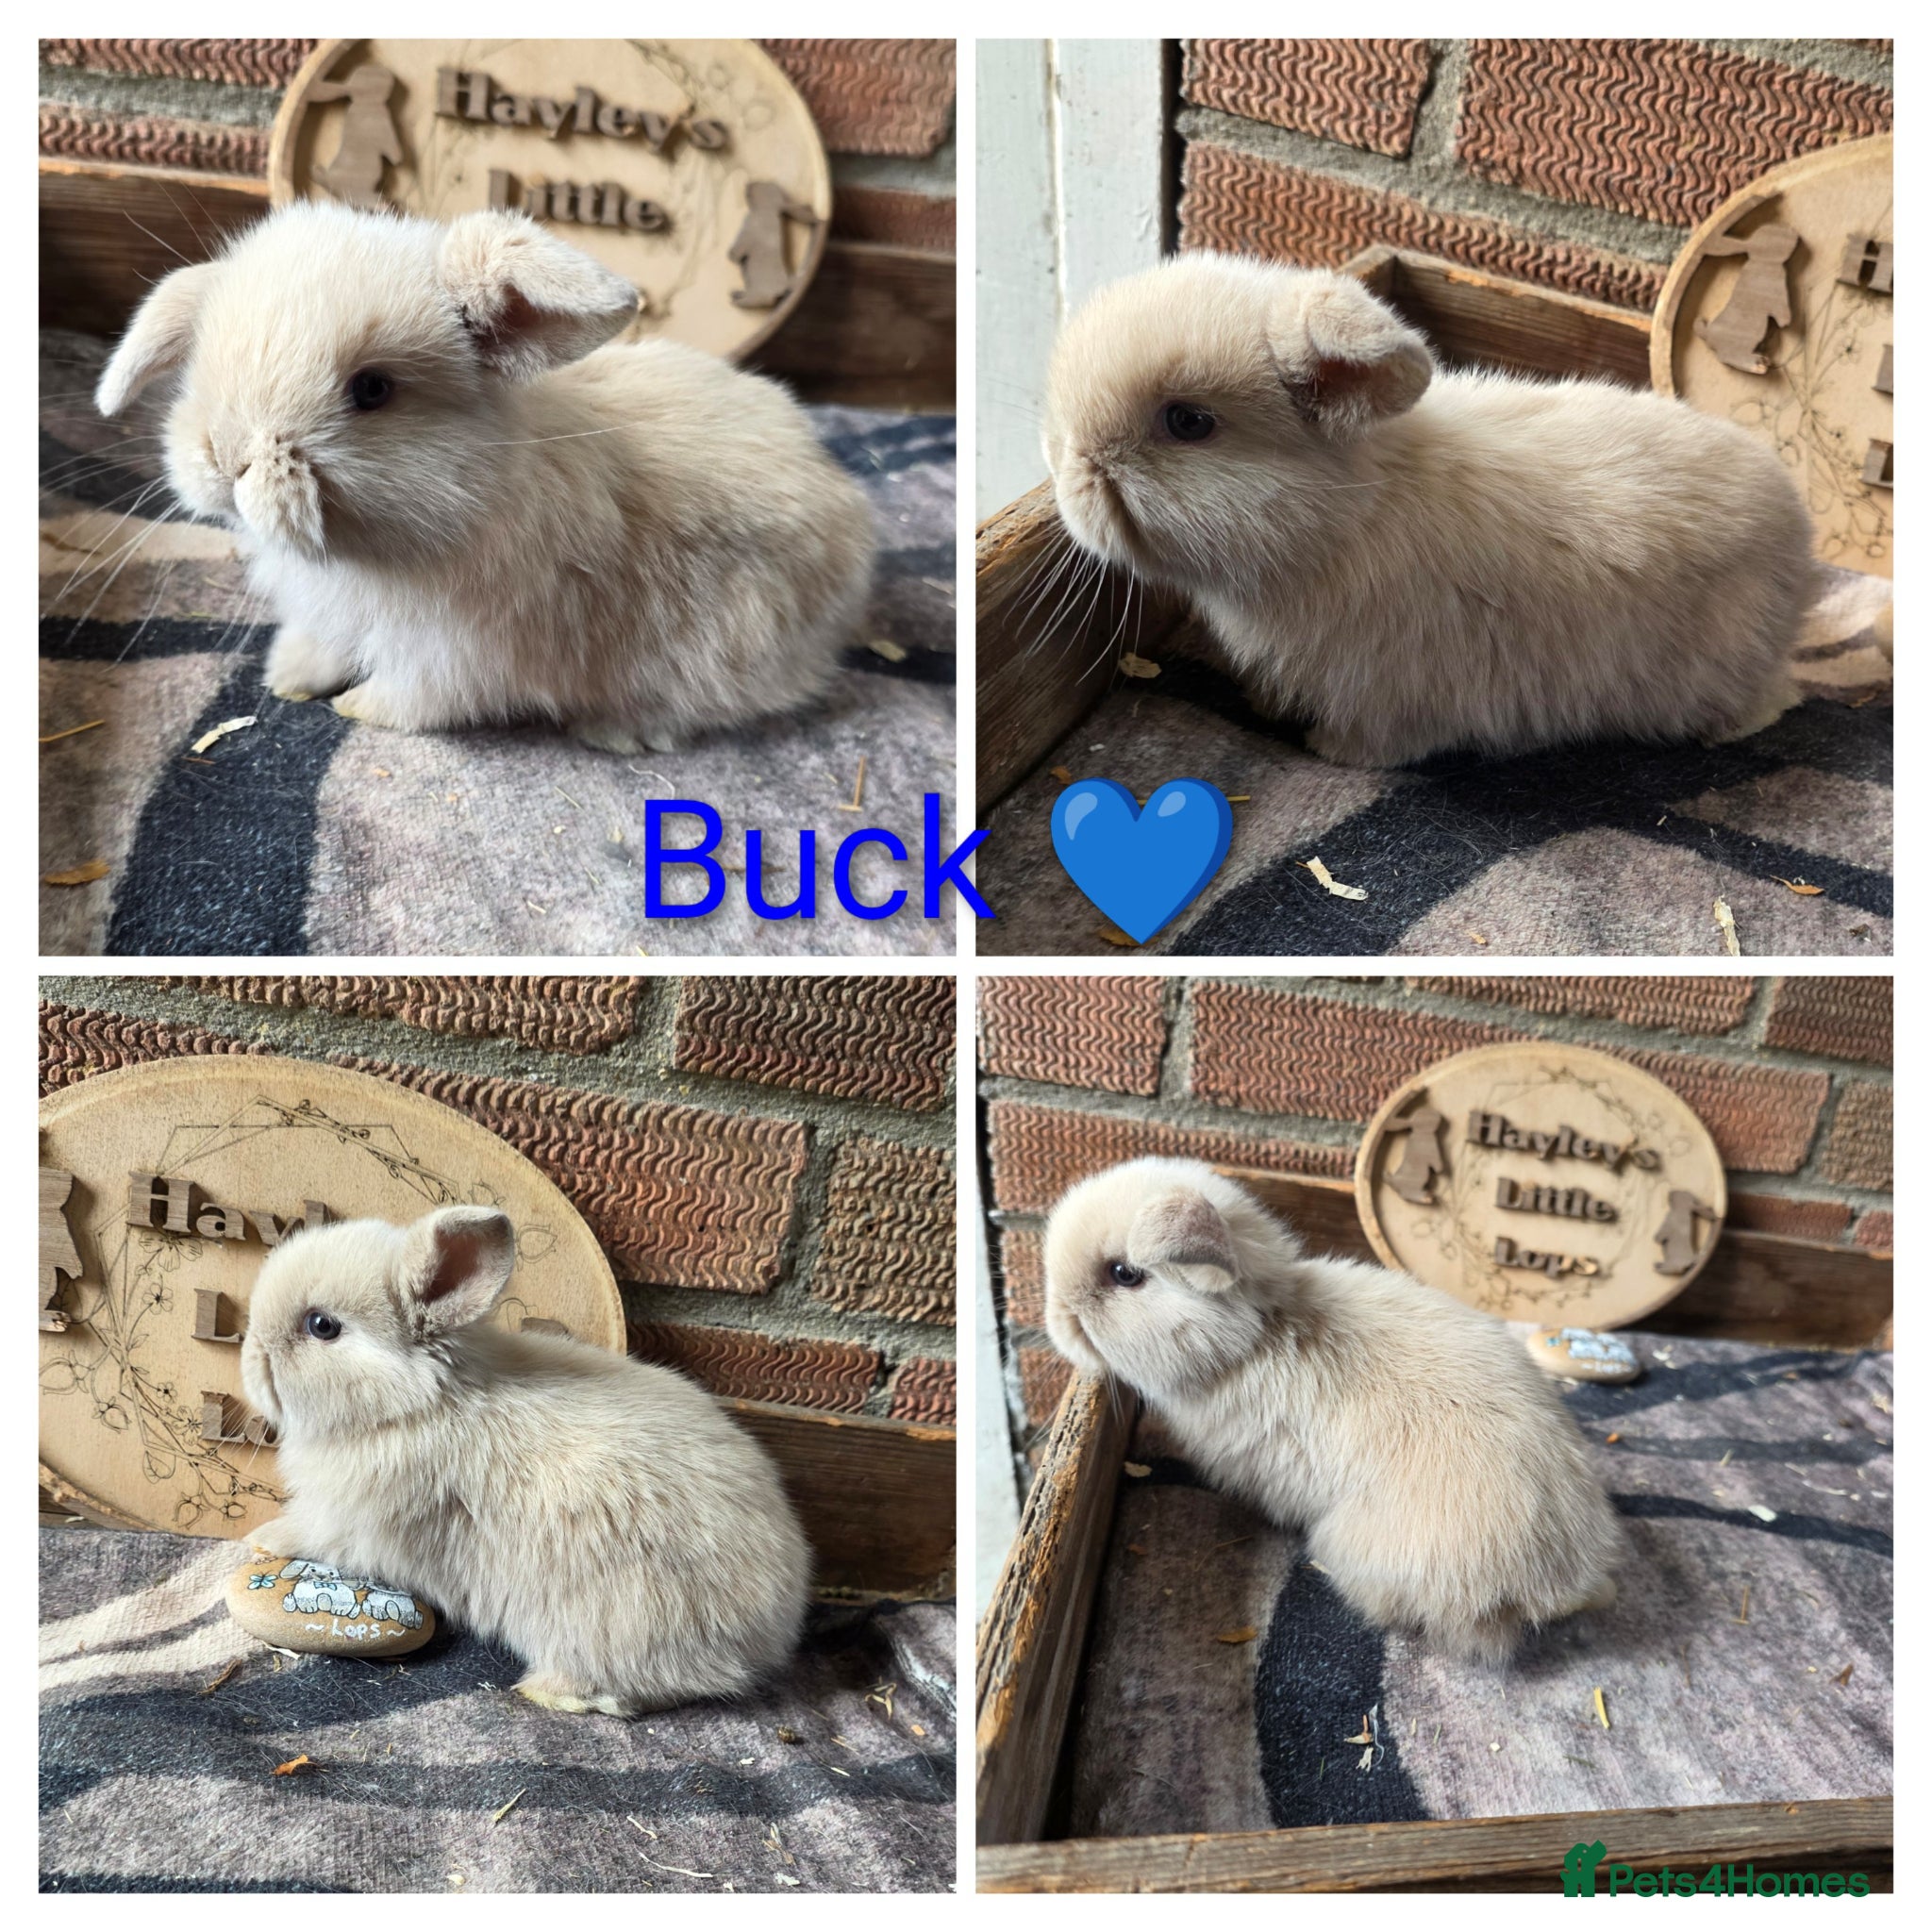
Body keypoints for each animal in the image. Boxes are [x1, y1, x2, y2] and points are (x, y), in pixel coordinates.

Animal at [94, 199, 875, 753]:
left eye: (371, 390)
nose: (225, 457)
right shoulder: (333, 616)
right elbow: (319, 647)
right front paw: (288, 681)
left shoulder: (455, 654)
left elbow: (414, 699)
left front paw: (357, 707)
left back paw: (618, 731)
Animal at [240, 1204, 811, 1715]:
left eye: (322, 1325)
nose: (250, 1356)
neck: (419, 1402)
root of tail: (773, 1628)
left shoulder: (350, 1525)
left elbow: (309, 1535)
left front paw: (261, 1540)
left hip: (614, 1619)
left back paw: (552, 1693)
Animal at [1042, 252, 1817, 767]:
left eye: (1188, 422)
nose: (1062, 461)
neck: (1343, 516)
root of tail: (1801, 540)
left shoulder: (1392, 687)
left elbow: (1378, 741)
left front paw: (1329, 750)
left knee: (1776, 702)